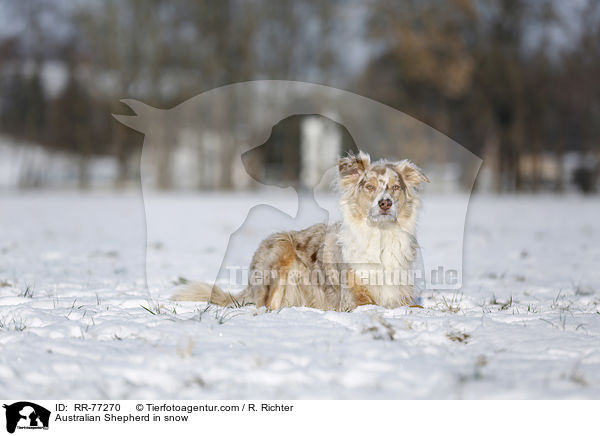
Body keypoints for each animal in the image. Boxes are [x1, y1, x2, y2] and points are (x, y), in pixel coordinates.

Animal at [171, 152, 428, 312]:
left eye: (396, 187)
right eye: (369, 187)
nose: (385, 203)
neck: (381, 235)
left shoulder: (400, 294)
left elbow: (414, 306)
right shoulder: (352, 298)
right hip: (281, 245)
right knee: (265, 304)